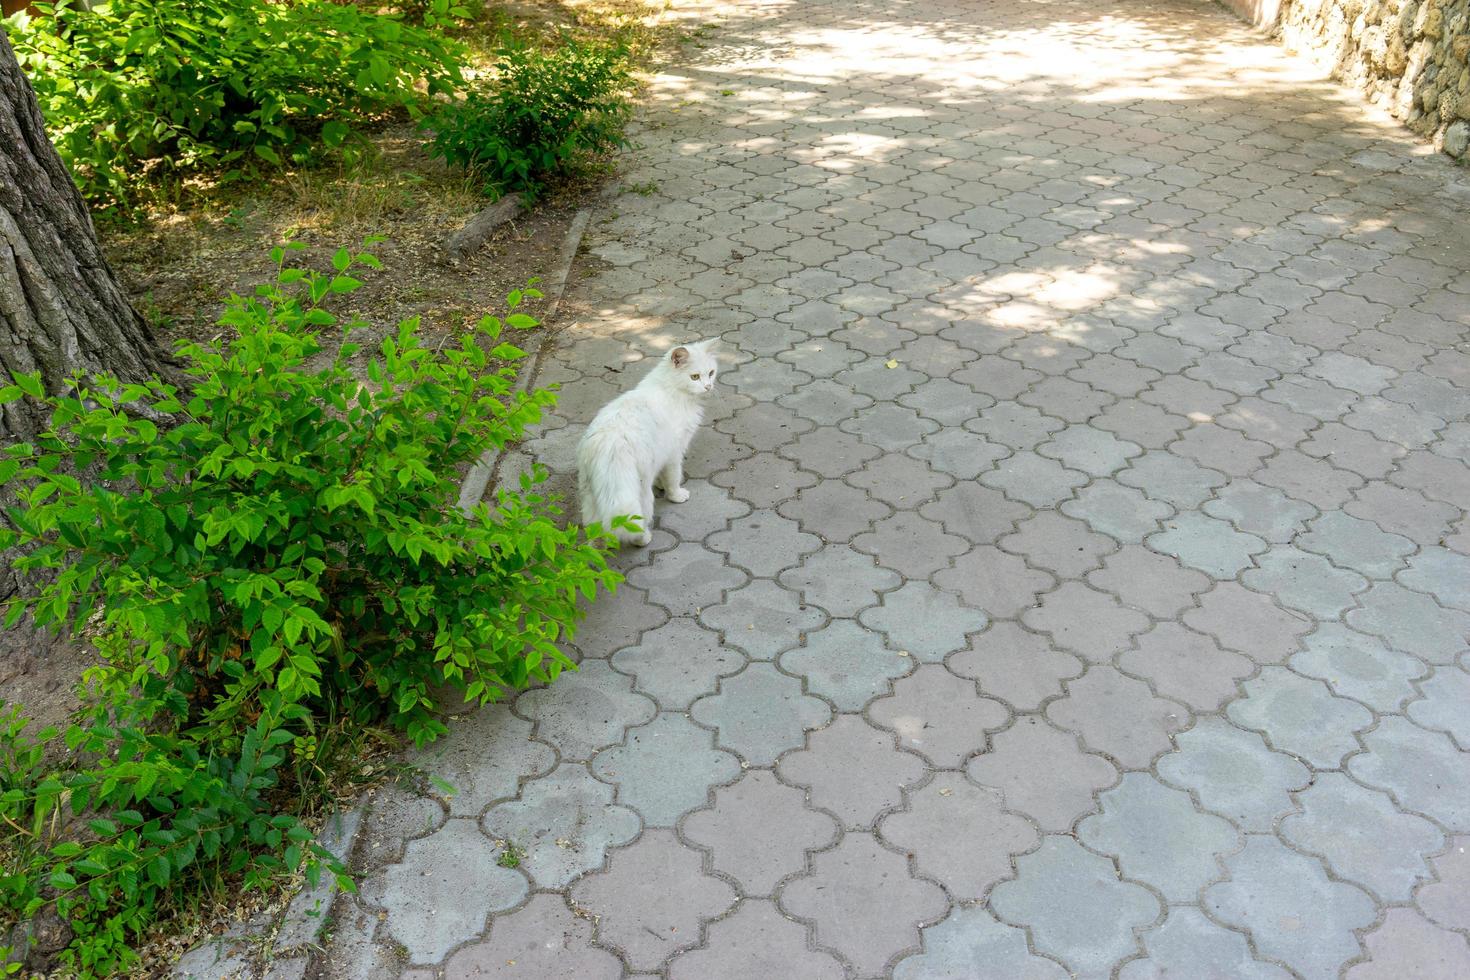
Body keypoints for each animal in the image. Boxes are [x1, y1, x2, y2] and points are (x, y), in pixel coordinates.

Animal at [573, 340, 717, 549]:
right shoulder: (674, 453)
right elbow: (673, 479)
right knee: (635, 526)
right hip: (641, 493)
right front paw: (675, 495)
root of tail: (609, 445)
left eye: (711, 373)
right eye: (695, 376)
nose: (708, 386)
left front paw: (661, 485)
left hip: (590, 497)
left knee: (596, 532)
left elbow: (663, 476)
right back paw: (644, 539)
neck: (671, 390)